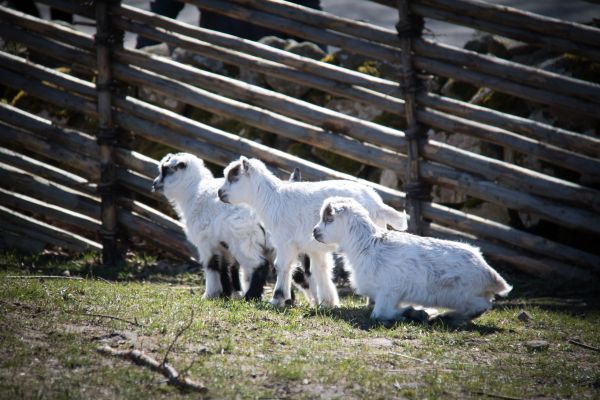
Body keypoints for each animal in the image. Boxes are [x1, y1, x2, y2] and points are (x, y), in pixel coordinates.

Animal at [151, 152, 274, 300]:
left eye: (165, 170)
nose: (154, 184)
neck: (192, 192)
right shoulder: (222, 245)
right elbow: (229, 267)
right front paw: (230, 293)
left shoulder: (206, 243)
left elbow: (212, 267)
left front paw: (210, 294)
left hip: (243, 241)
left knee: (260, 265)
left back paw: (251, 296)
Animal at [216, 156, 408, 306]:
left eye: (234, 177)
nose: (219, 192)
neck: (273, 199)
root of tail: (378, 204)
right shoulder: (314, 247)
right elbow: (320, 270)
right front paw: (327, 302)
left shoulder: (285, 241)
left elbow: (281, 266)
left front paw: (277, 299)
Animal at [312, 197, 512, 322]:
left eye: (329, 219)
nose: (315, 231)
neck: (367, 245)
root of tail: (490, 274)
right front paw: (419, 312)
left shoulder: (388, 291)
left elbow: (380, 314)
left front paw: (416, 312)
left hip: (464, 295)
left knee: (483, 306)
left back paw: (446, 316)